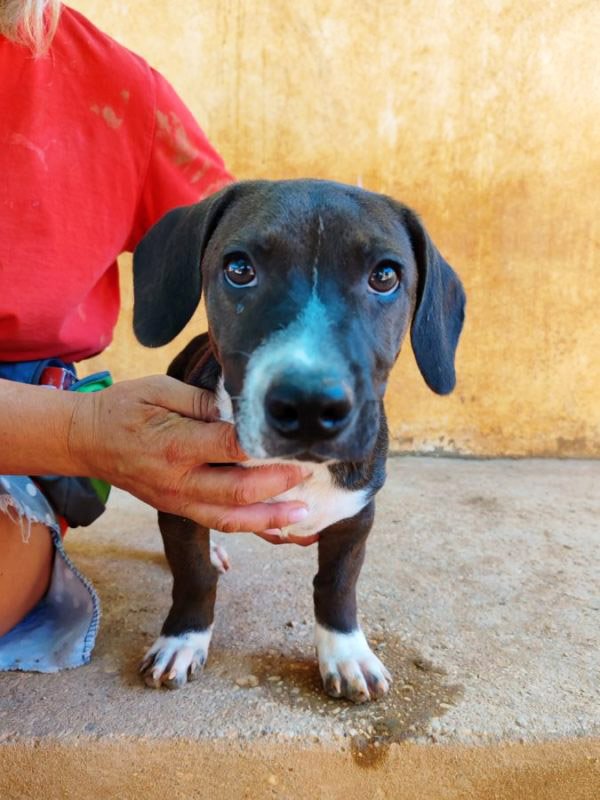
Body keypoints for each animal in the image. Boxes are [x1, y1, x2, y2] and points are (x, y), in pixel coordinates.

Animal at [132, 179, 465, 703]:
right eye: (239, 269)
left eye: (385, 276)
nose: (309, 406)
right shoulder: (180, 501)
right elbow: (193, 576)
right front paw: (182, 640)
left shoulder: (355, 516)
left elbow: (337, 584)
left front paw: (346, 653)